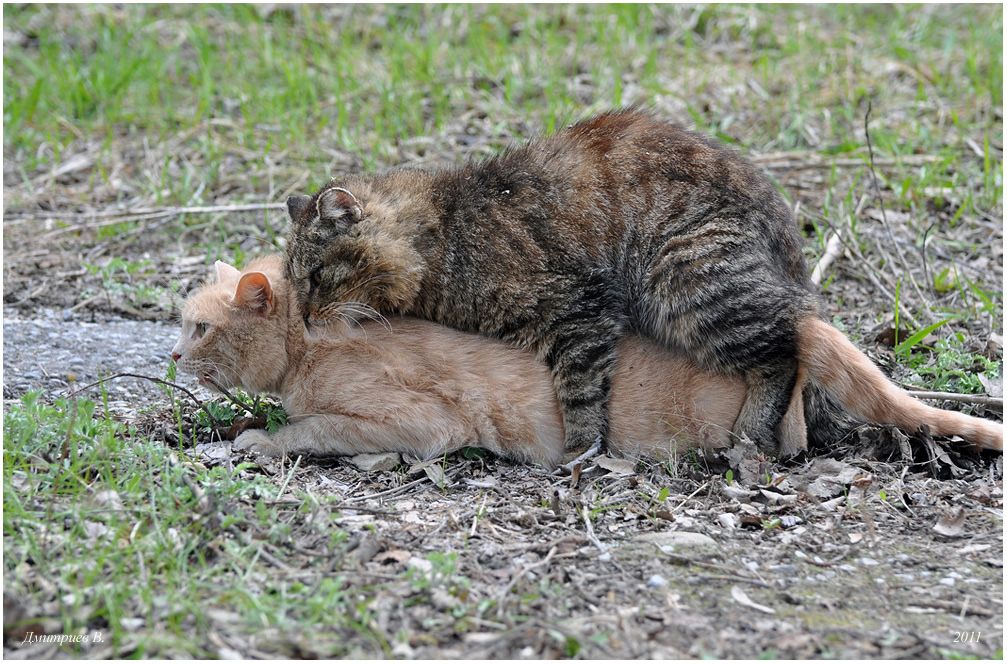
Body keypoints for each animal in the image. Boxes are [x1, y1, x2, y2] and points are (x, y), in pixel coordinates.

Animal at [283, 107, 817, 457]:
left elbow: (580, 391)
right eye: (295, 284)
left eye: (317, 276)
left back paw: (750, 432)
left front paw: (580, 450)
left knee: (787, 344)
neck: (440, 233)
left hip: (687, 280)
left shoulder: (578, 307)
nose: (305, 316)